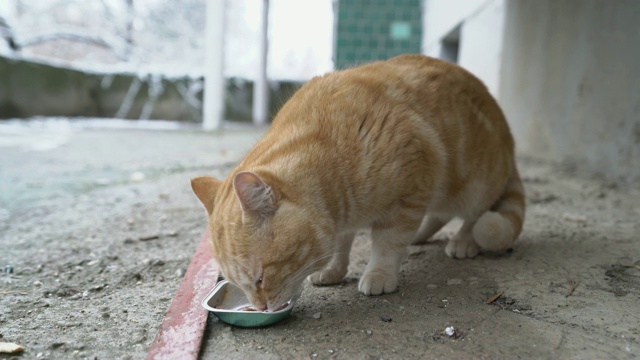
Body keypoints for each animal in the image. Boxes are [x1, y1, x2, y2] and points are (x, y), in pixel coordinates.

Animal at [192, 54, 528, 310]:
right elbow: (342, 246)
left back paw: (463, 241)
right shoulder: (346, 216)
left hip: (473, 186)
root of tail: (510, 142)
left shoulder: (411, 192)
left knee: (473, 215)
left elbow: (388, 244)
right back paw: (421, 234)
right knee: (439, 214)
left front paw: (379, 273)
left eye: (260, 278)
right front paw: (333, 271)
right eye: (237, 283)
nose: (259, 307)